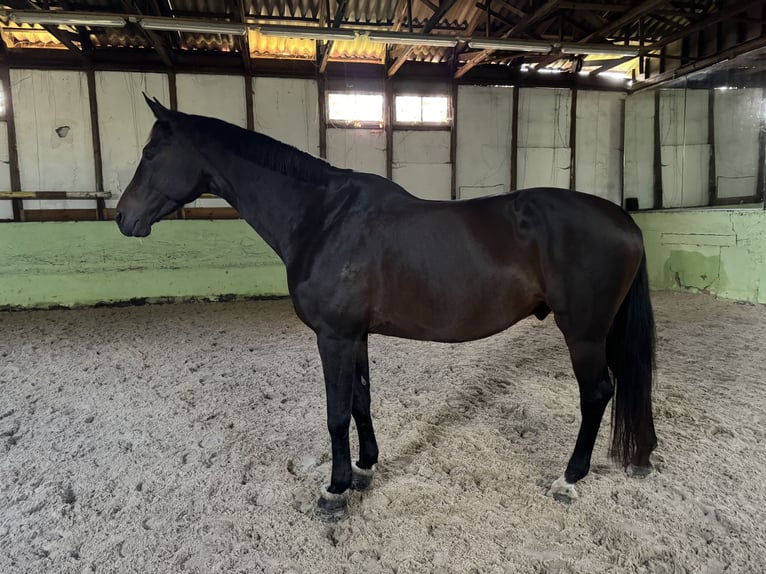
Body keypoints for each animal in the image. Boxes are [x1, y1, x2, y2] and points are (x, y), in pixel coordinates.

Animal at [116, 95, 657, 520]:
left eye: (150, 152)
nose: (123, 217)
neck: (324, 218)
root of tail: (626, 222)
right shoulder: (355, 335)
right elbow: (360, 400)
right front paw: (364, 467)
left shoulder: (333, 336)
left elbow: (336, 412)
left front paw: (334, 491)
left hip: (583, 332)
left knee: (597, 394)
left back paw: (569, 478)